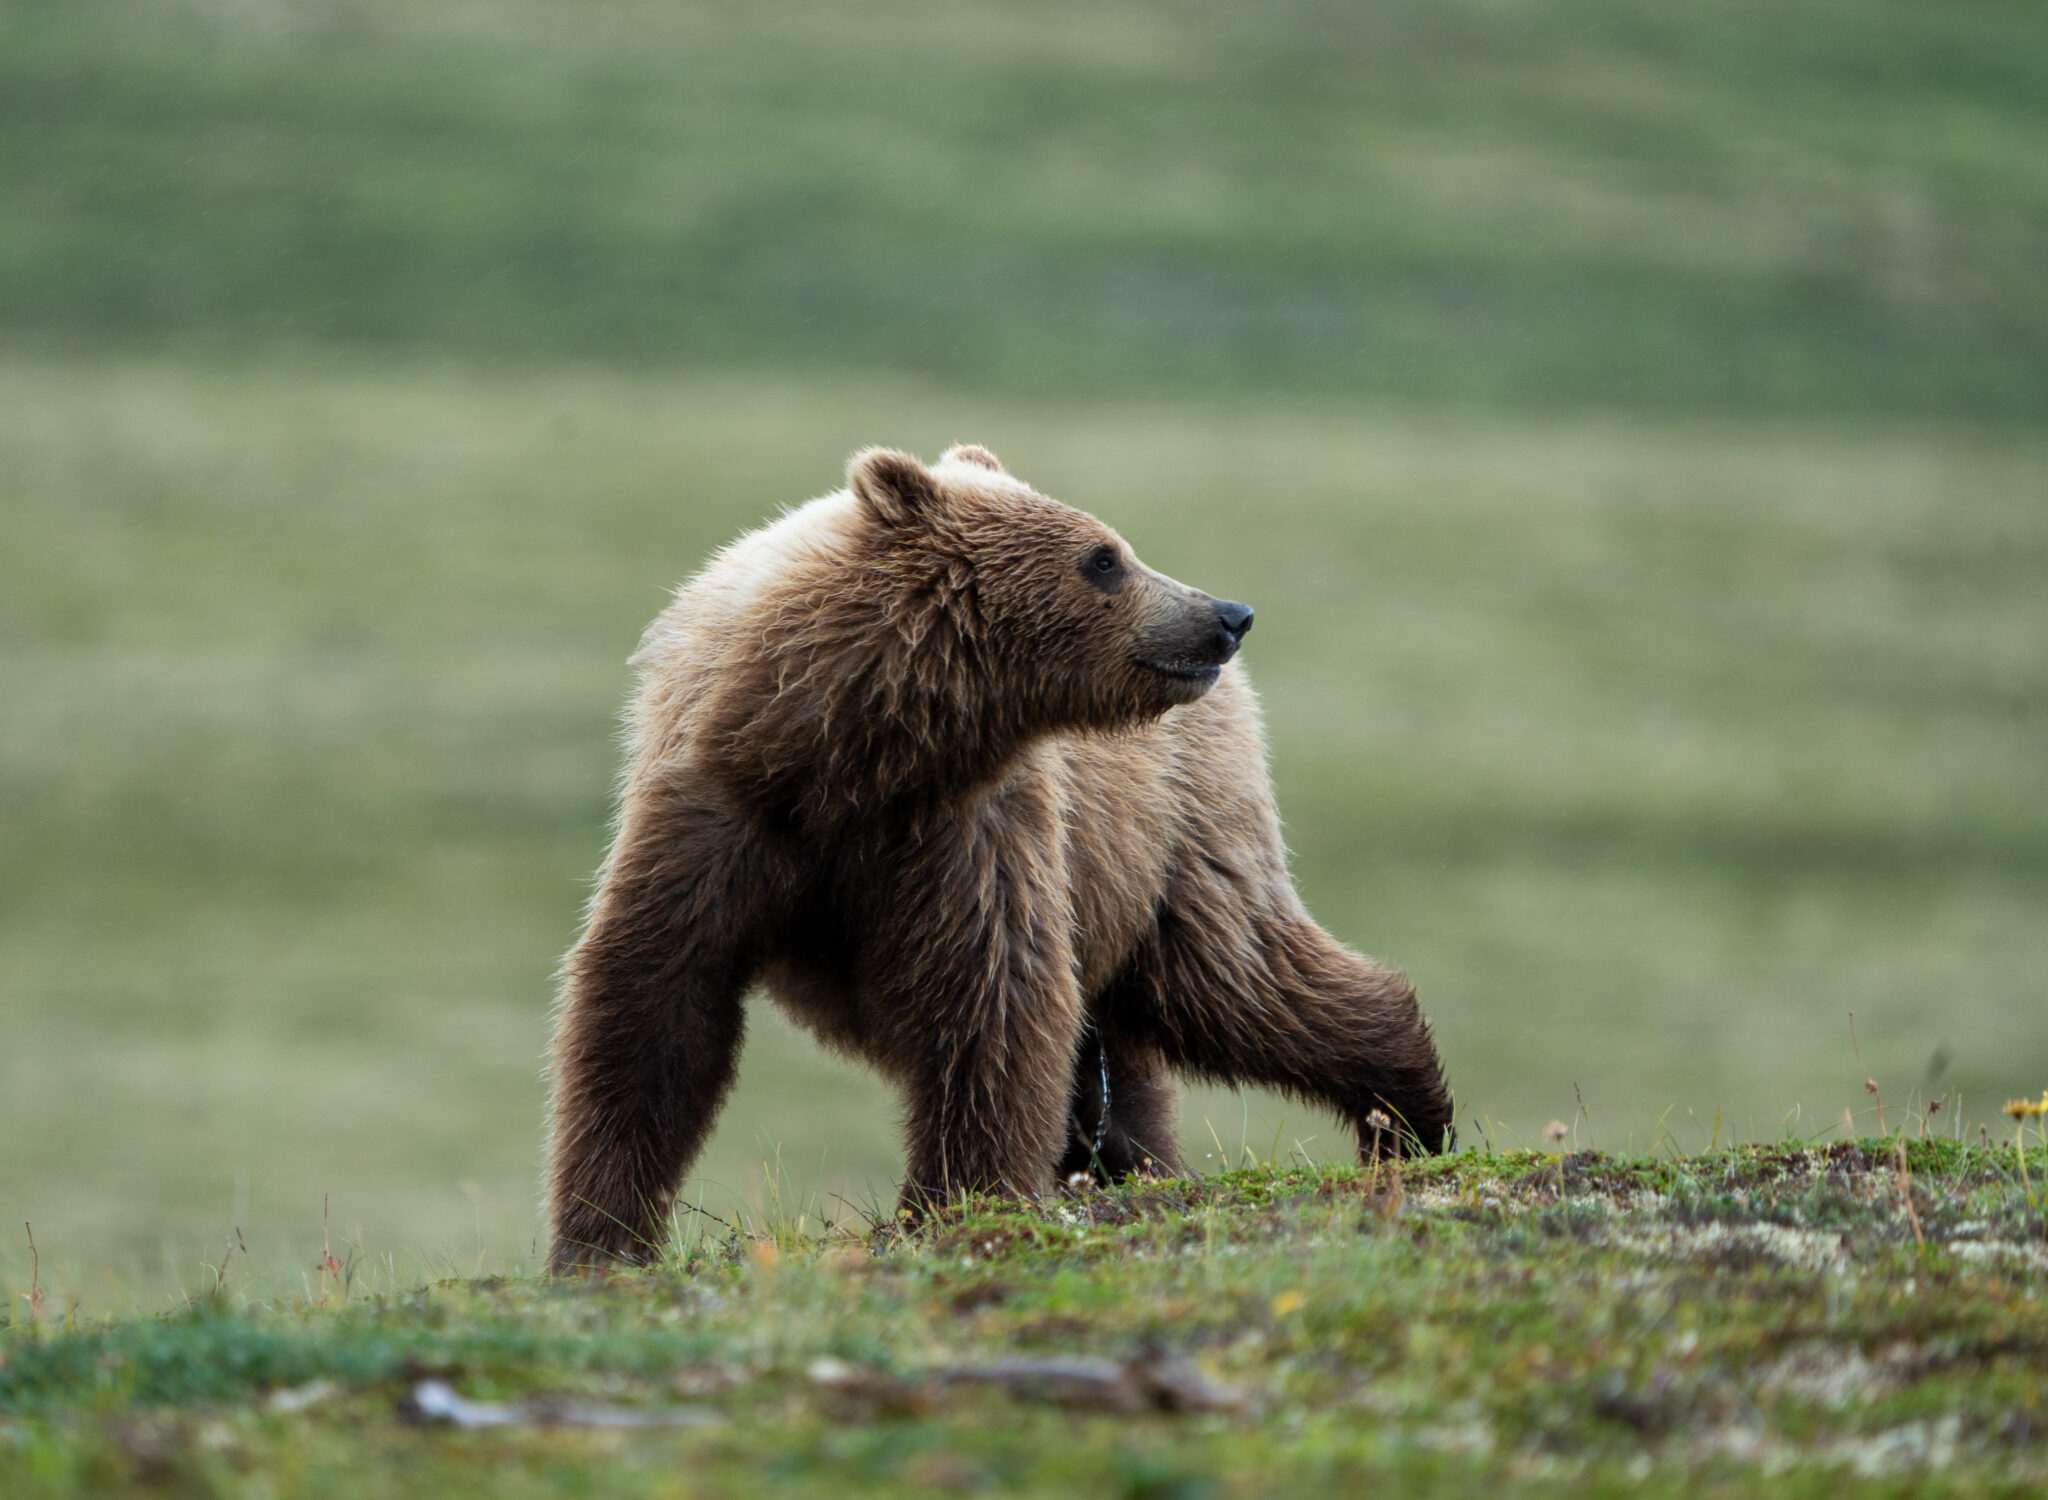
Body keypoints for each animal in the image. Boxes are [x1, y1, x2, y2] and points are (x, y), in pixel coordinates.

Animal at [546, 444, 1452, 1270]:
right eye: (1103, 558)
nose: (1226, 615)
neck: (851, 757)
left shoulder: (973, 834)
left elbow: (991, 999)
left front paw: (960, 1201)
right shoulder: (718, 816)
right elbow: (652, 1007)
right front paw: (597, 1239)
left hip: (1166, 845)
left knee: (1238, 980)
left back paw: (1407, 1116)